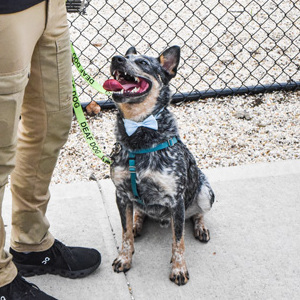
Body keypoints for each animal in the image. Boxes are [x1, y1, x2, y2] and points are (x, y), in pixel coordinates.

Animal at [103, 45, 216, 284]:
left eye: (143, 63)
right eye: (125, 56)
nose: (116, 59)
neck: (138, 131)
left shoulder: (175, 200)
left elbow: (178, 241)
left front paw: (179, 269)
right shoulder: (121, 194)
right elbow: (125, 233)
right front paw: (124, 258)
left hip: (205, 192)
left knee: (198, 213)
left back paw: (201, 227)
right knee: (139, 213)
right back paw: (137, 223)